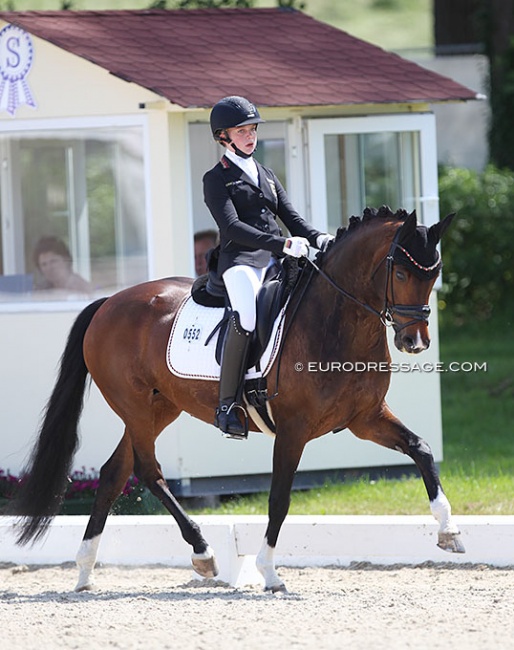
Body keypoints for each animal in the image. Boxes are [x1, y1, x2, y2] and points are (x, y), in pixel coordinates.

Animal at [5, 206, 460, 592]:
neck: (336, 321)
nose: (415, 342)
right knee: (148, 471)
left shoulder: (365, 418)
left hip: (160, 406)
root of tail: (107, 303)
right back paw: (203, 553)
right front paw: (269, 572)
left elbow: (421, 448)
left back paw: (85, 571)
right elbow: (279, 498)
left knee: (115, 472)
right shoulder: (293, 429)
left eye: (434, 274)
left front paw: (448, 530)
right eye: (401, 274)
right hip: (133, 405)